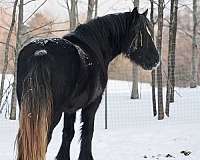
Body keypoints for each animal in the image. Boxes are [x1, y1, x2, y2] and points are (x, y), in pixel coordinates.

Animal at [16, 7, 159, 160]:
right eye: (141, 32)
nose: (156, 60)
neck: (95, 47)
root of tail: (41, 52)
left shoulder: (70, 109)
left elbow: (68, 133)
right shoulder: (92, 104)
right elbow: (87, 132)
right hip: (50, 114)